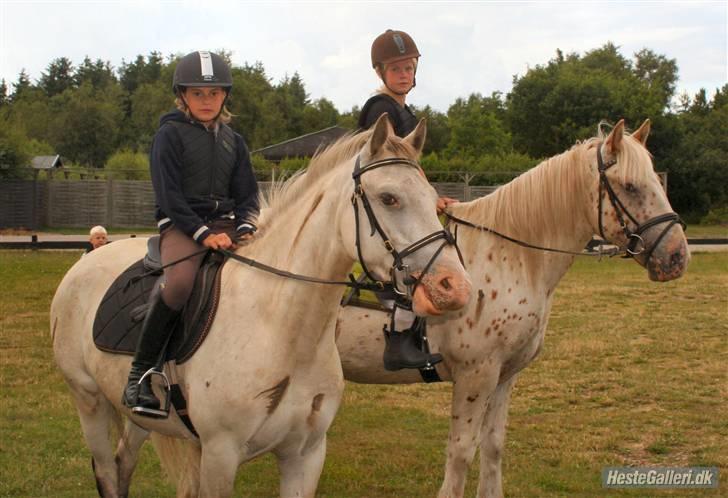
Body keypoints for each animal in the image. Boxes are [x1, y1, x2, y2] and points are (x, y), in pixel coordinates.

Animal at [51, 115, 472, 496]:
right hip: (88, 401)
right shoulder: (220, 456)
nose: (455, 288)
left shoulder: (305, 455)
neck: (283, 331)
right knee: (107, 471)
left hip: (140, 419)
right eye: (389, 198)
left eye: (432, 198)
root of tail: (87, 261)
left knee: (123, 463)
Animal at [336, 118, 688, 496]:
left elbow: (493, 444)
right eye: (630, 186)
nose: (677, 256)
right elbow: (461, 452)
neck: (509, 259)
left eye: (656, 181)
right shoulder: (476, 375)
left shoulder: (505, 375)